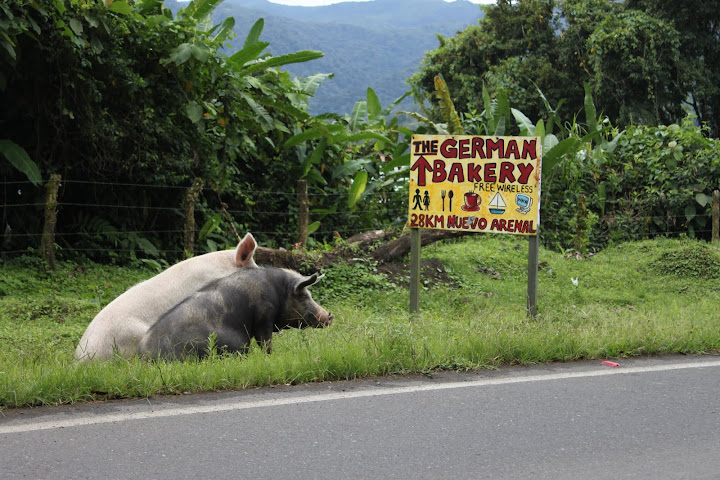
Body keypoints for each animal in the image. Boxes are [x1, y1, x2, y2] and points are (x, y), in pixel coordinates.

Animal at [139, 266, 334, 360]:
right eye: (304, 295)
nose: (329, 316)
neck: (278, 290)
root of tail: (145, 355)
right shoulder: (264, 315)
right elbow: (265, 341)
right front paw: (270, 357)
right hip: (232, 345)